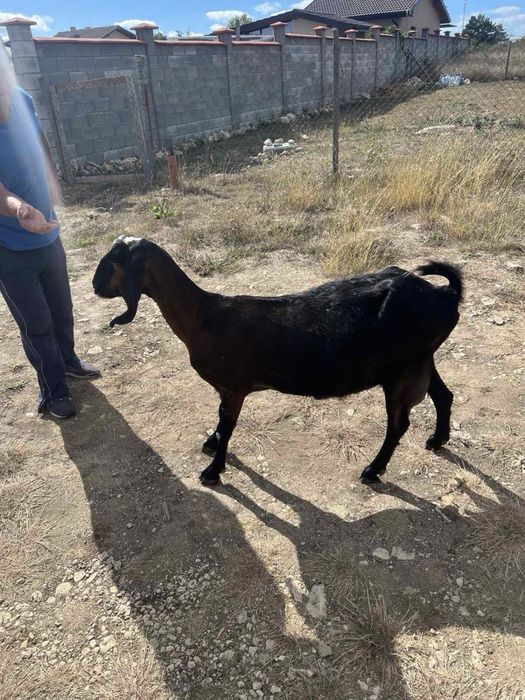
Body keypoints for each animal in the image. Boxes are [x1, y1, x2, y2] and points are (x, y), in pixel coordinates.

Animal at [93, 237, 463, 486]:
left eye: (115, 264)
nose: (95, 287)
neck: (205, 317)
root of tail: (445, 295)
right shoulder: (226, 389)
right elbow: (220, 420)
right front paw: (211, 443)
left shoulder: (234, 387)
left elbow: (229, 425)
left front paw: (213, 470)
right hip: (421, 360)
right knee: (443, 396)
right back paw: (437, 440)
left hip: (402, 370)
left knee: (398, 424)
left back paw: (373, 470)